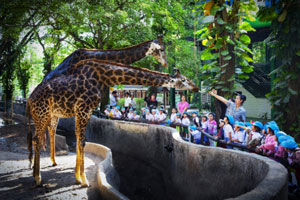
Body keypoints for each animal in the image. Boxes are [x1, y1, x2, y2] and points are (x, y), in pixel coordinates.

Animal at [26, 58, 199, 187]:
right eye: (183, 79)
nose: (196, 87)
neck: (101, 76)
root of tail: (29, 100)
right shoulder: (83, 109)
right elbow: (81, 141)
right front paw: (84, 180)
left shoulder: (83, 111)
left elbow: (80, 140)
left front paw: (78, 177)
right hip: (42, 114)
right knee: (37, 139)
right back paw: (38, 178)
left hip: (47, 115)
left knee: (41, 136)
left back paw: (40, 170)